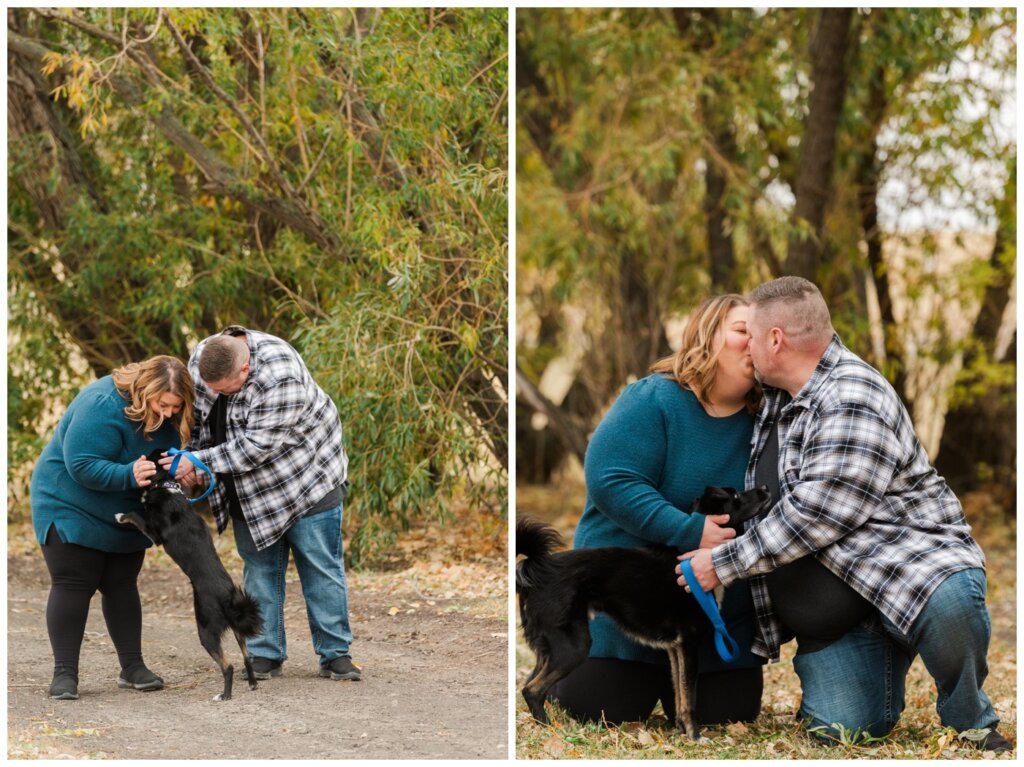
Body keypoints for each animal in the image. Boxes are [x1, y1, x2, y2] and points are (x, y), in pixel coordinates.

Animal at [116, 448, 264, 700]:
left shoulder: (154, 534)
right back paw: (253, 683)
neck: (166, 487)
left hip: (205, 629)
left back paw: (224, 695)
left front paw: (119, 515)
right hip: (237, 629)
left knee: (228, 666)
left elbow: (134, 514)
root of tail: (228, 597)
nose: (136, 459)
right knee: (245, 657)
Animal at [520, 485, 770, 741]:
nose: (765, 488)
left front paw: (681, 730)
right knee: (532, 689)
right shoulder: (689, 642)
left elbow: (679, 693)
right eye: (736, 496)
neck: (696, 552)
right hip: (573, 646)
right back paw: (550, 729)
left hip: (551, 647)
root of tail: (538, 570)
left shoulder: (676, 647)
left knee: (530, 684)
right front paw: (694, 736)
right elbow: (689, 697)